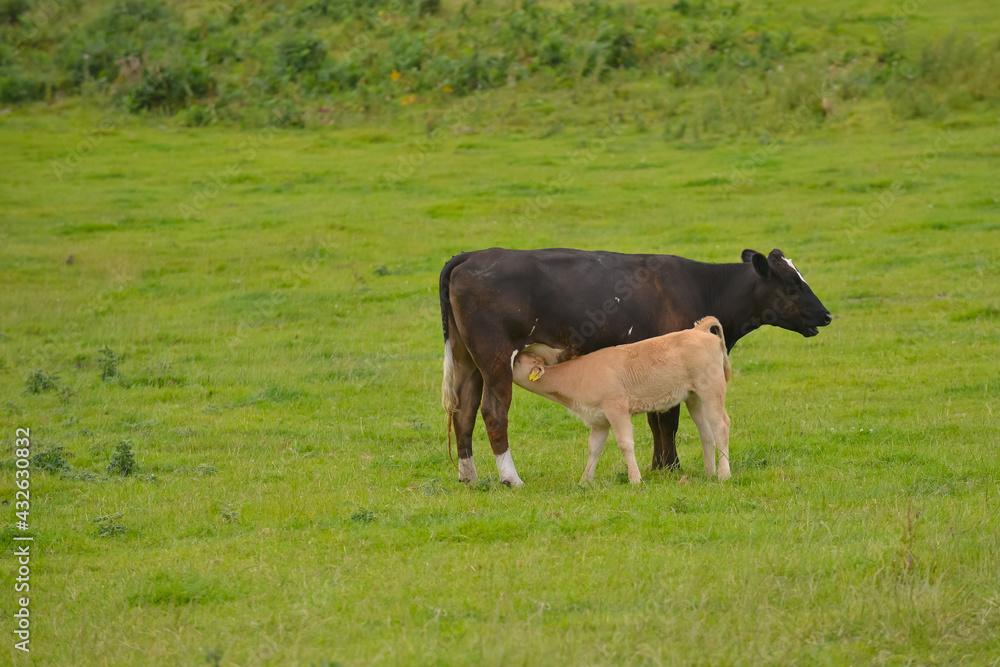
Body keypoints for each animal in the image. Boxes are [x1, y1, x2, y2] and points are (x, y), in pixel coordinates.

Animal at [512, 318, 732, 486]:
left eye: (518, 361)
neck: (578, 376)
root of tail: (698, 330)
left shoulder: (616, 408)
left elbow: (625, 443)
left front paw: (635, 479)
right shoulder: (599, 420)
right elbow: (594, 448)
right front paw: (585, 480)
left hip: (712, 390)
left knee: (720, 425)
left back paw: (724, 475)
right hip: (694, 397)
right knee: (706, 432)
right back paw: (709, 472)